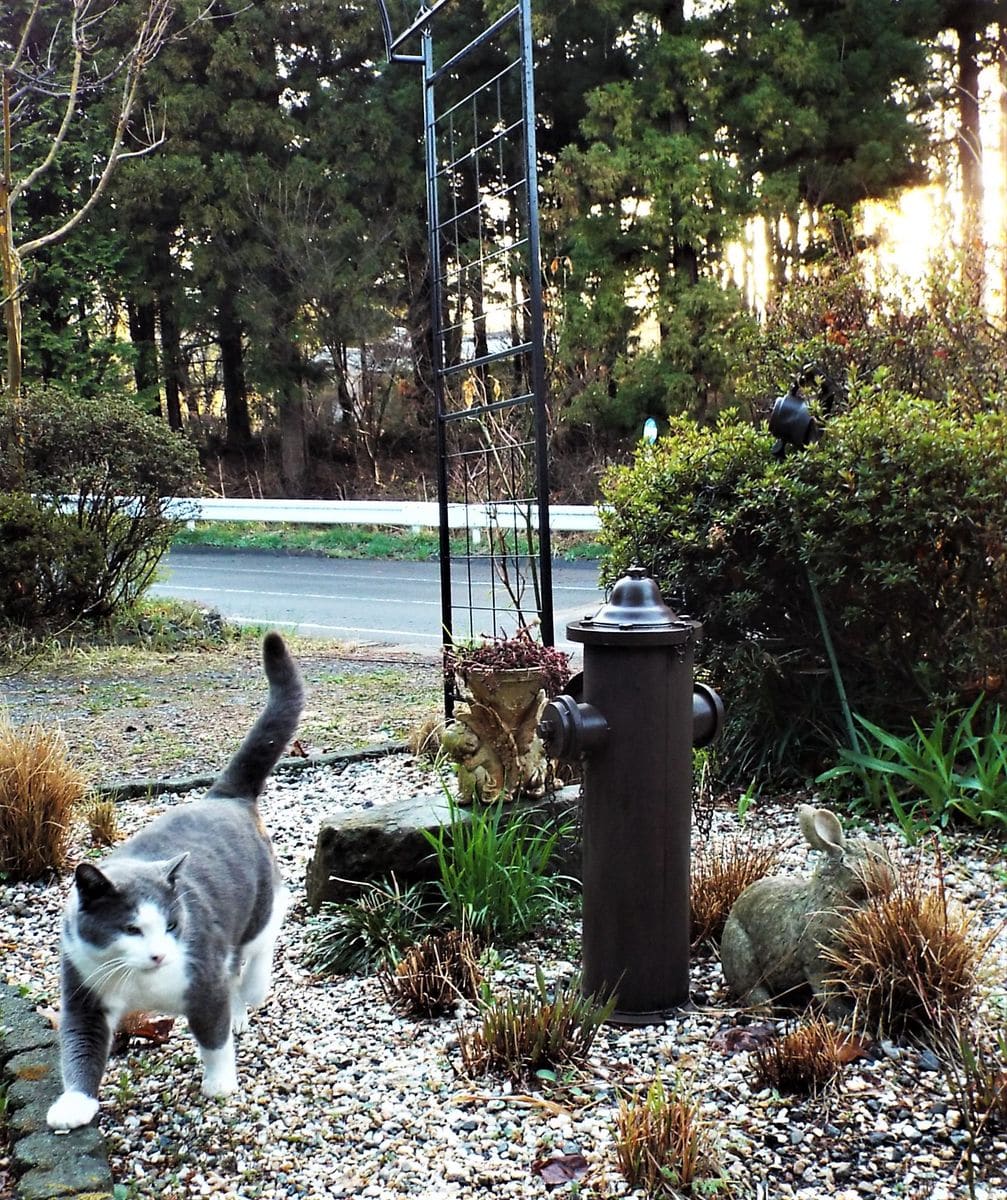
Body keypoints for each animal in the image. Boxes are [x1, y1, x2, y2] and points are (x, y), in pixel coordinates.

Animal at [46, 633, 303, 1128]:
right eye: (130, 928)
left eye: (172, 926)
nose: (160, 954)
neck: (140, 984)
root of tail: (225, 797)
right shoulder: (84, 988)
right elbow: (80, 1045)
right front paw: (75, 1105)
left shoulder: (203, 979)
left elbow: (214, 1037)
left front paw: (220, 1085)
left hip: (260, 904)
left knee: (260, 944)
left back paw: (252, 991)